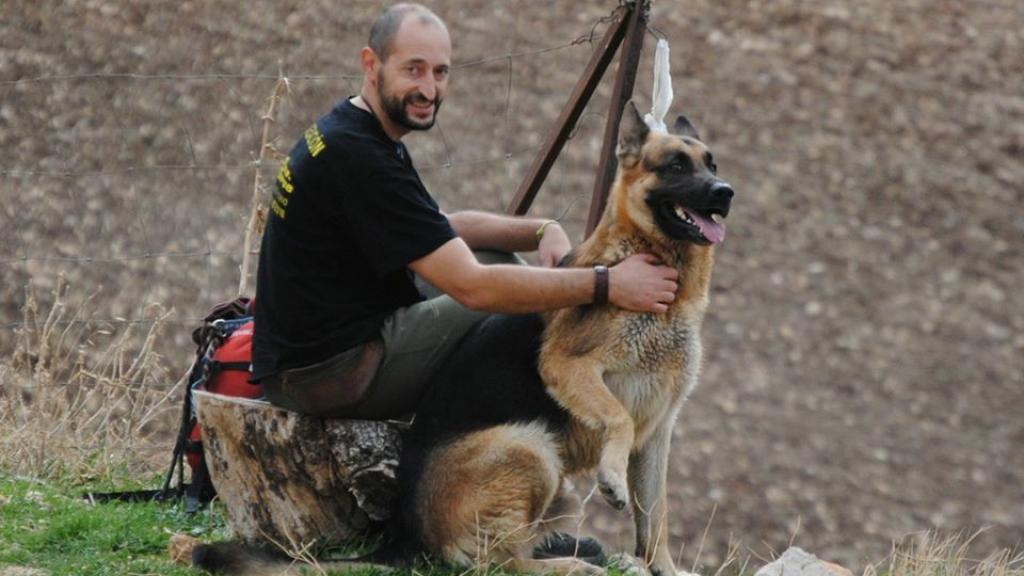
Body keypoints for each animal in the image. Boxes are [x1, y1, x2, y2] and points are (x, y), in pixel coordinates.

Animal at [192, 100, 733, 569]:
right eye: (676, 166)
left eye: (711, 162)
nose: (725, 192)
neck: (650, 260)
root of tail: (404, 538)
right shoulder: (568, 368)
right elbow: (617, 418)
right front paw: (612, 479)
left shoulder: (659, 430)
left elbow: (656, 516)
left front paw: (662, 567)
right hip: (530, 447)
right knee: (503, 563)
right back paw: (571, 566)